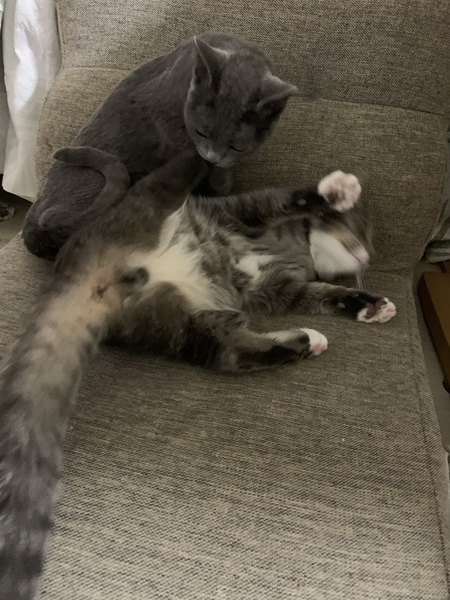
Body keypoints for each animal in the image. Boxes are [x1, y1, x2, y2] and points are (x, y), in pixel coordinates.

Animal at [0, 148, 396, 599]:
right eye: (359, 230)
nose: (366, 257)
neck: (298, 247)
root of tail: (86, 270)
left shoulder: (284, 288)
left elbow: (325, 296)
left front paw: (368, 305)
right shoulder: (247, 213)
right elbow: (286, 199)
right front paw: (336, 191)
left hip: (182, 322)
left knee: (228, 352)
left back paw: (302, 342)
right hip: (155, 201)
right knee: (179, 171)